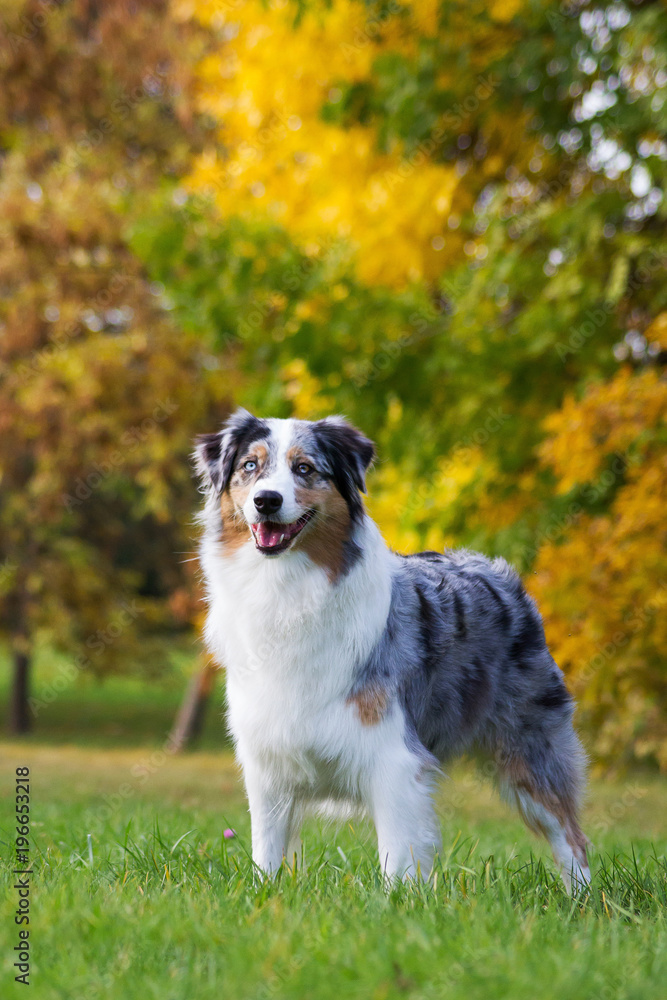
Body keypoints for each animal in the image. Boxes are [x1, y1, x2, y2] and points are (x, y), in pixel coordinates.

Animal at [193, 406, 588, 892]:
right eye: (250, 466)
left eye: (304, 468)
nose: (266, 500)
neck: (286, 588)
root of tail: (496, 570)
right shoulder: (268, 761)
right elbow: (267, 849)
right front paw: (266, 894)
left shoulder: (394, 759)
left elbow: (398, 857)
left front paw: (397, 901)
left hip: (529, 748)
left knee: (569, 834)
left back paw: (583, 899)